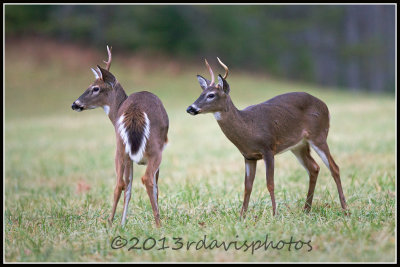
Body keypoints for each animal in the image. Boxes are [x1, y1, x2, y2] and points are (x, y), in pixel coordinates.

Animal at [72, 46, 169, 228]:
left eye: (95, 88)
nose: (75, 104)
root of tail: (135, 110)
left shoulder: (129, 156)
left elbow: (128, 187)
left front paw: (123, 223)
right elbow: (151, 187)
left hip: (120, 147)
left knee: (119, 184)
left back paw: (110, 222)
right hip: (155, 148)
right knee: (147, 179)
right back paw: (158, 224)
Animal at [187, 58, 346, 218]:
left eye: (211, 95)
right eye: (201, 93)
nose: (190, 108)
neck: (248, 129)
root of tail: (326, 107)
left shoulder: (268, 148)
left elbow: (270, 184)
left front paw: (274, 214)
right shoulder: (248, 156)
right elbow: (248, 186)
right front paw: (242, 216)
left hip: (319, 135)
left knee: (334, 167)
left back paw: (345, 209)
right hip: (299, 145)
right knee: (314, 168)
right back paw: (306, 210)